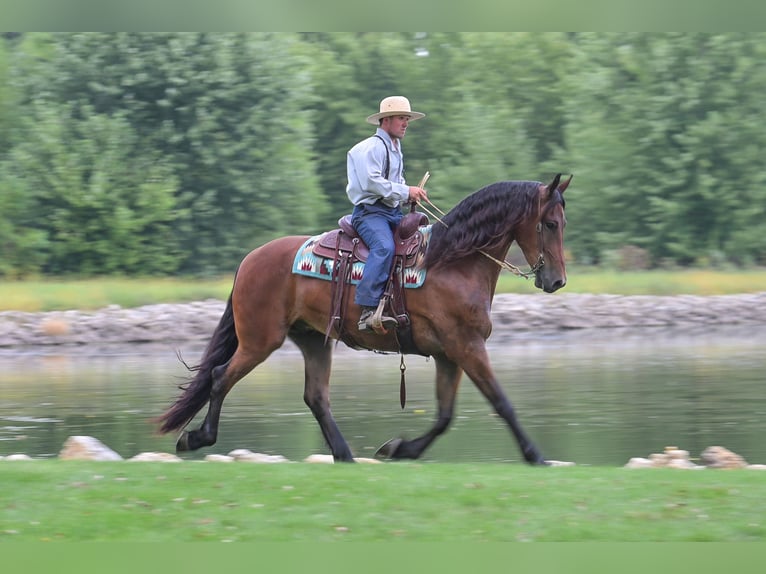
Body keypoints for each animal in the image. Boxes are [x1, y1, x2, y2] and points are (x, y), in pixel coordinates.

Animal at [157, 173, 571, 464]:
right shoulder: (466, 347)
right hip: (260, 340)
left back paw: (344, 454)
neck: (452, 262)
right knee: (219, 376)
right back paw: (197, 437)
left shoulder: (449, 354)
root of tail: (249, 261)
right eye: (550, 223)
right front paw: (536, 456)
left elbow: (444, 416)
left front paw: (399, 448)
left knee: (315, 396)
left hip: (312, 339)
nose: (556, 281)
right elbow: (502, 403)